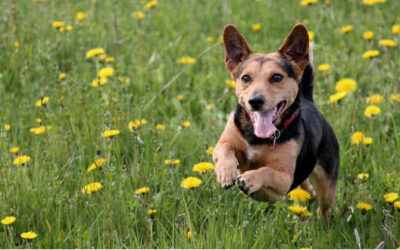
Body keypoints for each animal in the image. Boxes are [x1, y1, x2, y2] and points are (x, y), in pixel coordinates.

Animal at [214, 23, 340, 223]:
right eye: (246, 78)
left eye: (276, 77)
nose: (255, 101)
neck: (258, 138)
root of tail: (308, 100)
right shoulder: (224, 143)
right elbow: (225, 149)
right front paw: (226, 172)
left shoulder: (285, 180)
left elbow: (266, 171)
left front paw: (249, 179)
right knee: (308, 188)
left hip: (327, 185)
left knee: (325, 207)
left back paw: (325, 225)